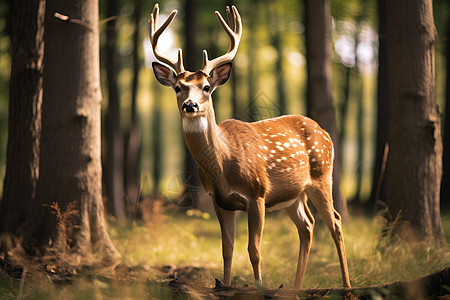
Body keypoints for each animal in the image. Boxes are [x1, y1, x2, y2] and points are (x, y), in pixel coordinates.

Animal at [149, 4, 352, 288]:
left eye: (207, 87)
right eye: (178, 87)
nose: (190, 105)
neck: (223, 165)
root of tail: (324, 131)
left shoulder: (257, 193)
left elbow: (254, 250)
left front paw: (258, 287)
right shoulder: (220, 201)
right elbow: (227, 250)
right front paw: (225, 286)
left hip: (323, 176)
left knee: (335, 221)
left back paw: (347, 286)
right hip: (294, 194)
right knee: (308, 225)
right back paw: (296, 287)